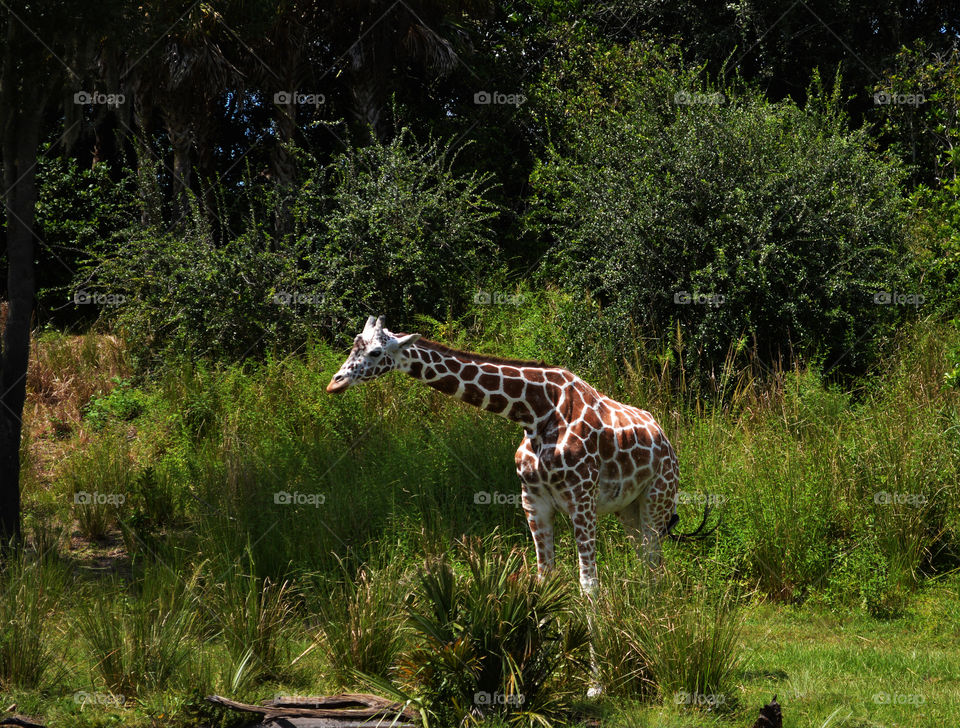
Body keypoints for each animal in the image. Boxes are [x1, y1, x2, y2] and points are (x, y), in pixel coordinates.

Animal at [326, 315, 714, 594]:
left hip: (657, 501)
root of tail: (666, 441)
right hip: (627, 510)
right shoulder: (533, 500)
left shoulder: (581, 499)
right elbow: (545, 579)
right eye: (353, 346)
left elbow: (589, 585)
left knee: (655, 567)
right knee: (648, 565)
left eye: (376, 353)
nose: (335, 382)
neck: (535, 412)